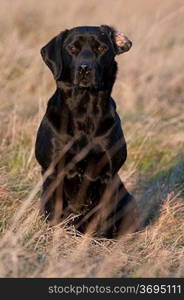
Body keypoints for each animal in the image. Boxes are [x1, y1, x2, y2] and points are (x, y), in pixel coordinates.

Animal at [34, 25, 138, 237]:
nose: (85, 68)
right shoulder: (53, 172)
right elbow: (54, 213)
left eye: (101, 48)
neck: (84, 111)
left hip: (130, 202)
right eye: (72, 48)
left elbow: (101, 219)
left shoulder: (107, 175)